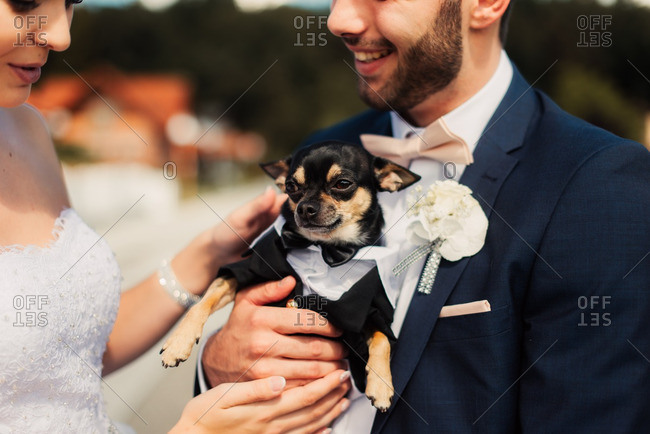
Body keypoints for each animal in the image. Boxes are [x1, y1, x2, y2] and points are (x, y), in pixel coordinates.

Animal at [159, 141, 418, 412]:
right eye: (292, 187)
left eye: (342, 184)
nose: (305, 207)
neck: (323, 248)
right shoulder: (244, 270)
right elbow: (202, 302)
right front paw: (178, 343)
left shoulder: (366, 310)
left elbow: (382, 339)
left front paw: (381, 385)